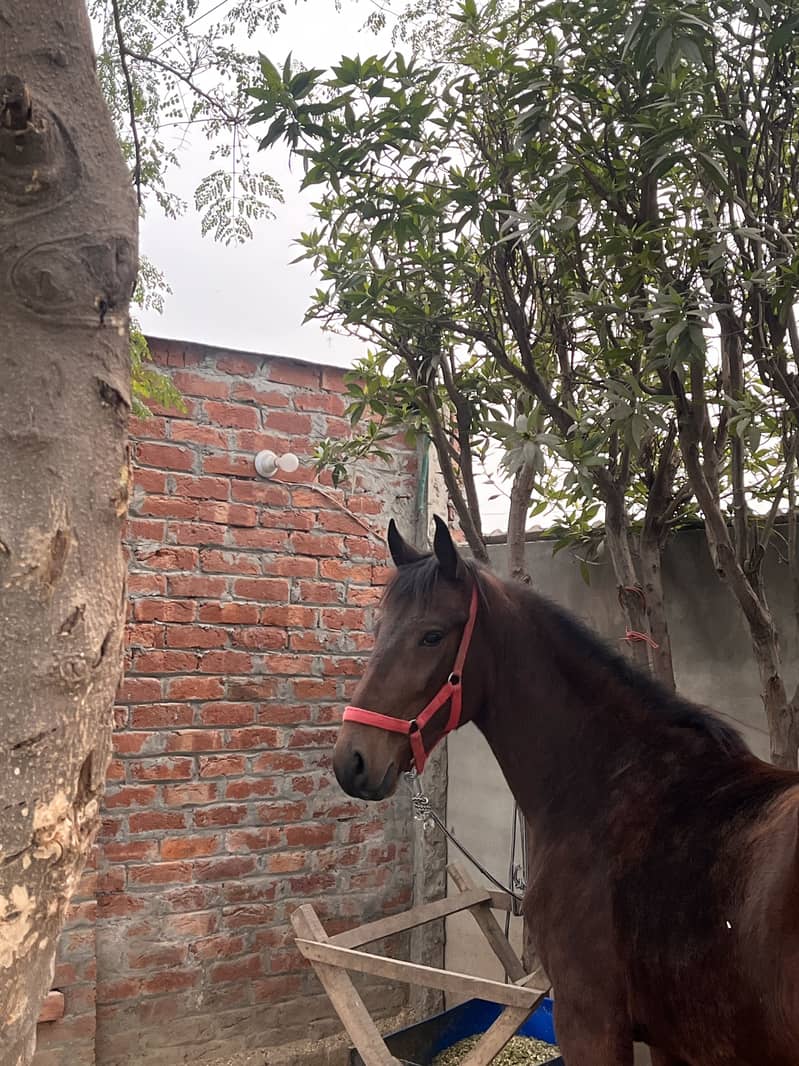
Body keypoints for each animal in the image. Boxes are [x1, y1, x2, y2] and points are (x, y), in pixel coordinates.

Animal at [332, 515, 799, 1066]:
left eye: (432, 635)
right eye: (378, 629)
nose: (351, 761)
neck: (613, 783)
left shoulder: (588, 1020)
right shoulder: (670, 1042)